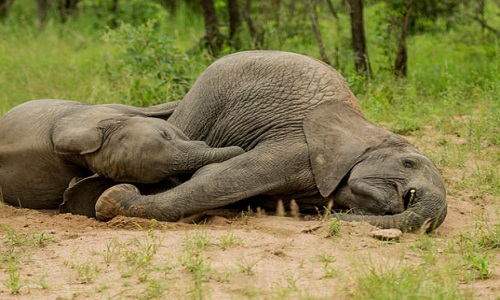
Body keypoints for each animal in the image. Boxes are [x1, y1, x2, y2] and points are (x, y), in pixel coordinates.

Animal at [95, 49, 448, 232]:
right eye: (408, 162)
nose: (324, 222)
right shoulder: (298, 147)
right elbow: (211, 183)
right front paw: (112, 200)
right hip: (204, 100)